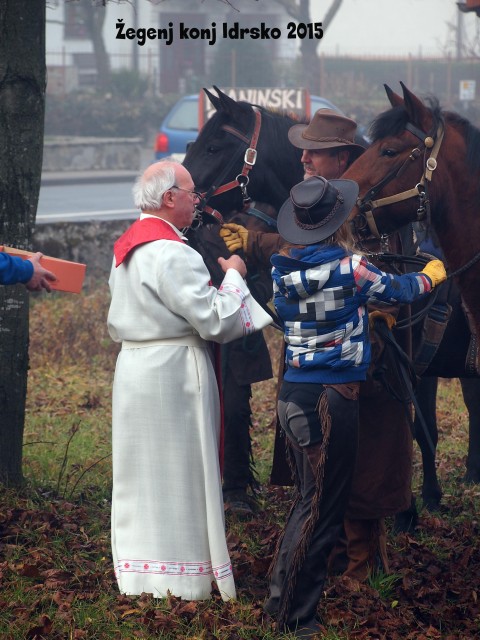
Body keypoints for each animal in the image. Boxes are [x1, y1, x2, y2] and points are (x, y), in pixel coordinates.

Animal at [184, 87, 480, 524]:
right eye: (193, 144)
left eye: (213, 146)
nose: (185, 207)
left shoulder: (405, 353)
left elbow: (408, 423)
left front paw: (405, 511)